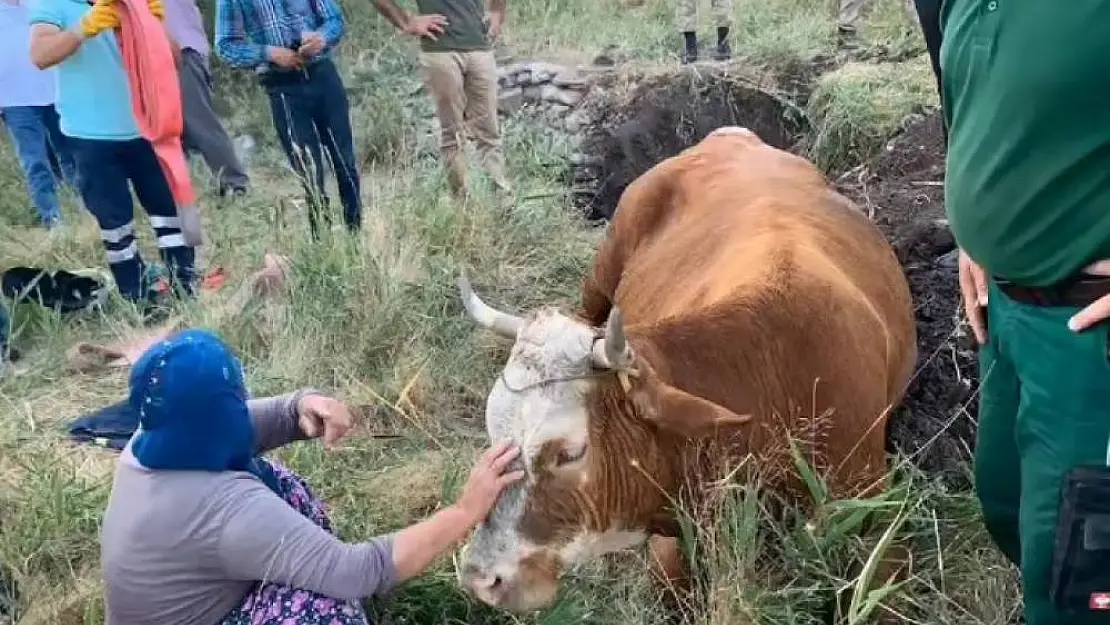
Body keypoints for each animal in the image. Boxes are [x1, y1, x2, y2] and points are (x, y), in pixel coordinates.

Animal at [455, 124, 914, 612]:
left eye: (570, 453)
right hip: (601, 271)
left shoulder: (876, 512)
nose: (481, 578)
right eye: (493, 433)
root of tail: (729, 134)